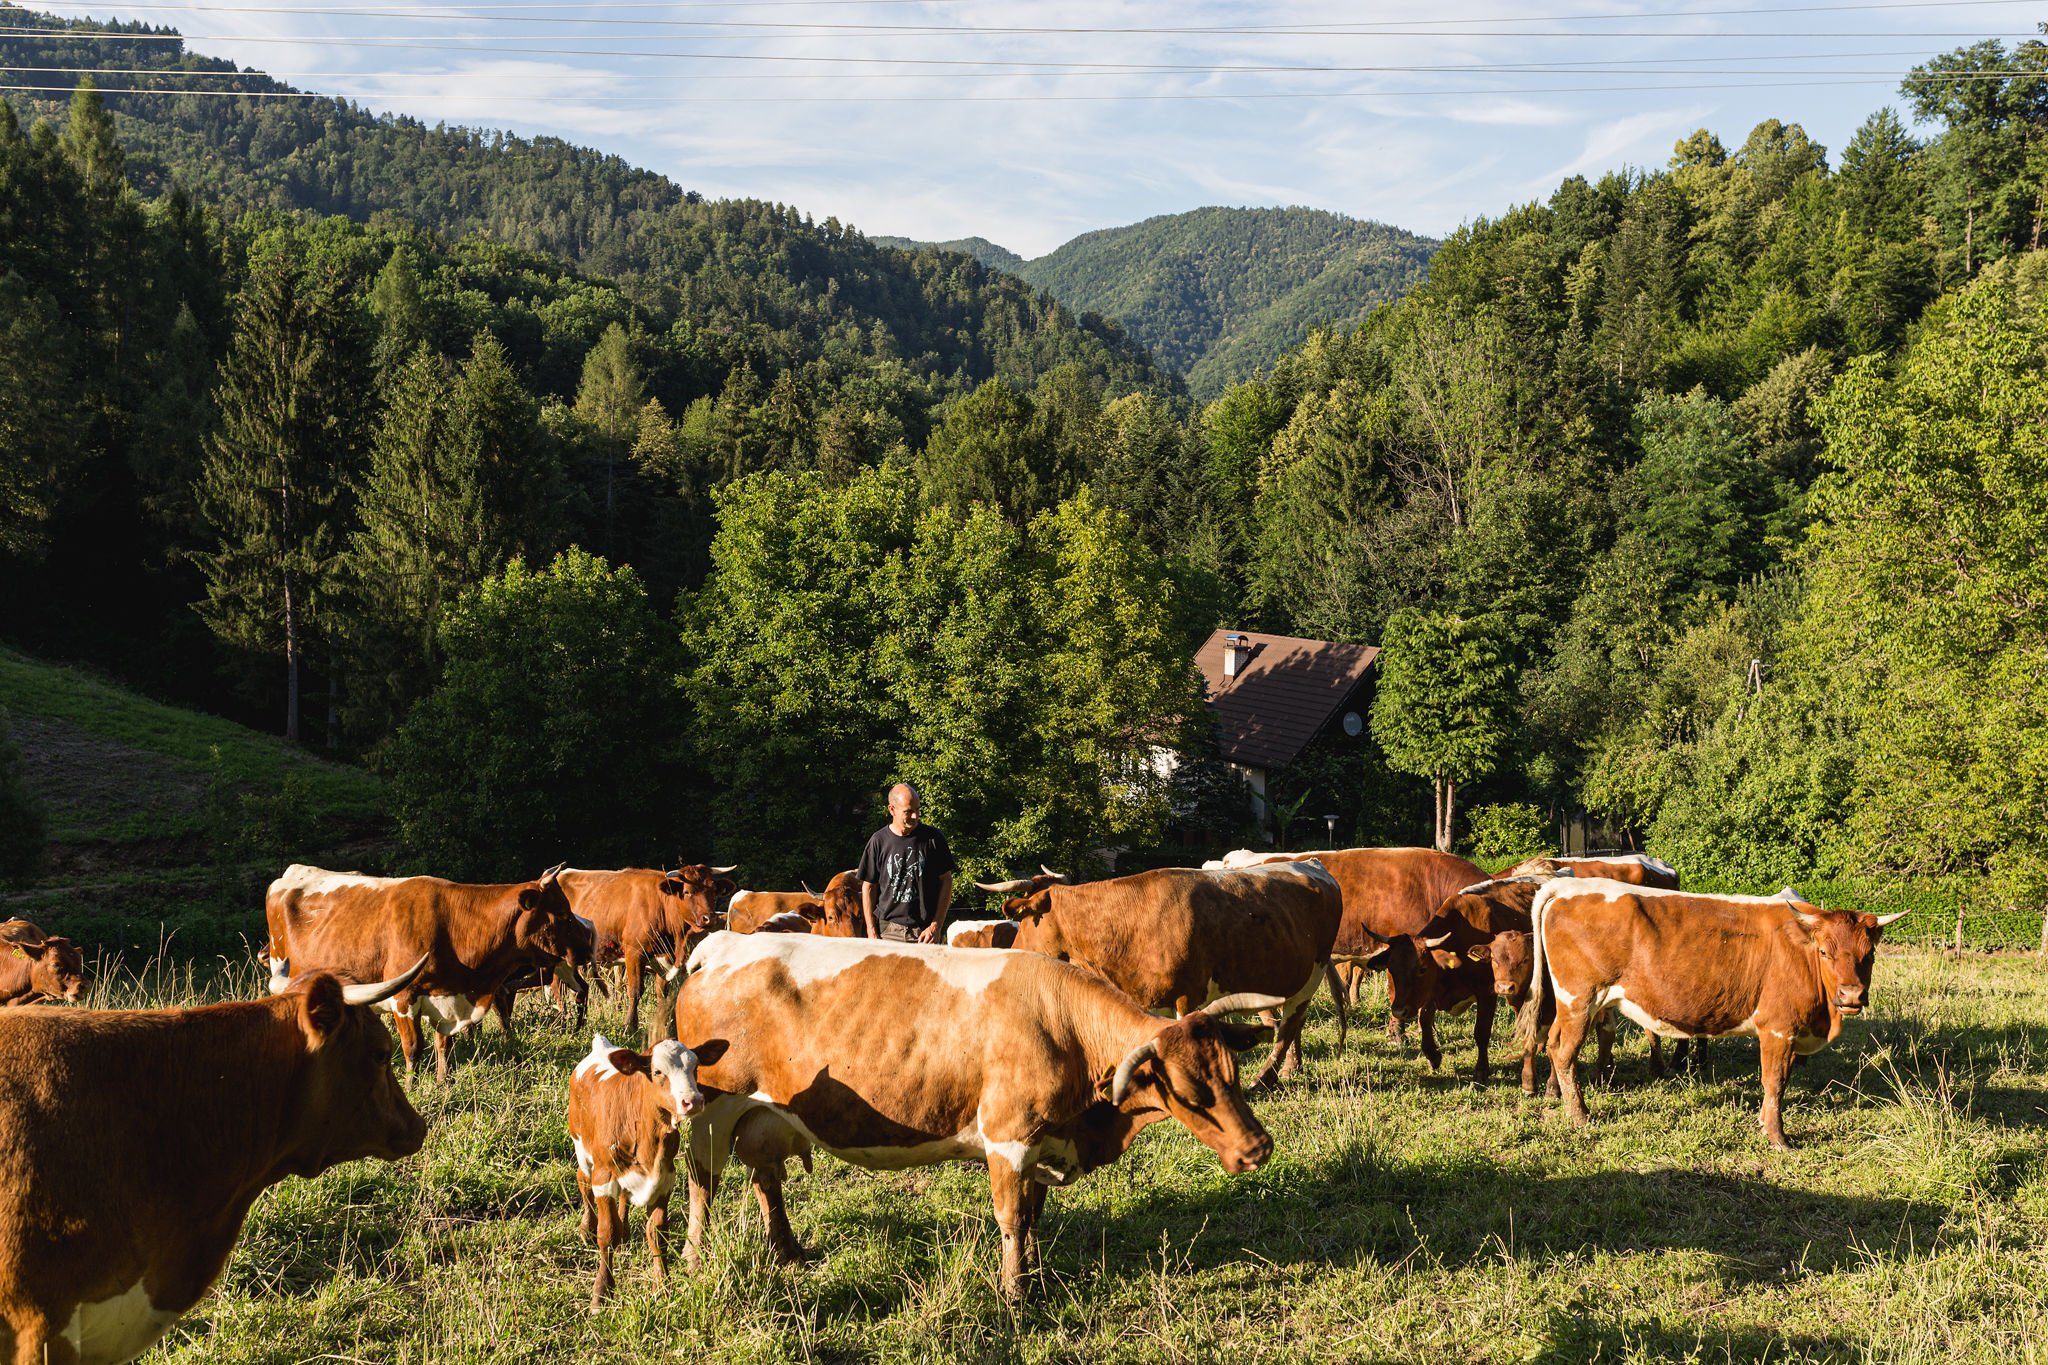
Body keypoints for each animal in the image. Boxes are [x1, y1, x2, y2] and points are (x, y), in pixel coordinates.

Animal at [262, 863, 593, 1080]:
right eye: (562, 914)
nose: (589, 941)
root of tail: (290, 873)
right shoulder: (403, 998)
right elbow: (413, 1048)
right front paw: (411, 1084)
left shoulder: (447, 998)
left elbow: (443, 1045)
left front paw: (444, 1083)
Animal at [561, 871, 737, 1039]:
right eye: (687, 892)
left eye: (714, 890)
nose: (709, 918)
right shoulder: (634, 954)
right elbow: (635, 990)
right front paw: (630, 1027)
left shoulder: (662, 962)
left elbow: (662, 995)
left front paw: (664, 1026)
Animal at [569, 1035, 712, 1309]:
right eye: (657, 1072)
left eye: (695, 1067)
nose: (693, 1101)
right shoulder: (604, 1180)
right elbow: (607, 1234)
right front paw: (601, 1293)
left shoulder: (664, 1180)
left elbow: (657, 1234)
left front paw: (663, 1286)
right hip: (582, 1148)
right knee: (582, 1180)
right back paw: (585, 1228)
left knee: (624, 1198)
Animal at [671, 929, 1277, 1301]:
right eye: (1189, 1091)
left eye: (1230, 1071)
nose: (1258, 1148)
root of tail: (727, 943)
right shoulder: (1009, 1137)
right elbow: (1011, 1218)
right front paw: (1015, 1294)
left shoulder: (1041, 1142)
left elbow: (1033, 1217)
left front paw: (1035, 1275)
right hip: (709, 1112)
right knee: (702, 1185)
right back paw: (695, 1263)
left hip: (765, 1116)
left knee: (766, 1179)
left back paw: (789, 1252)